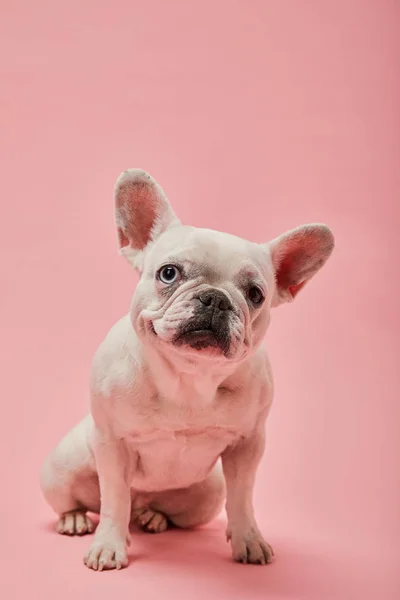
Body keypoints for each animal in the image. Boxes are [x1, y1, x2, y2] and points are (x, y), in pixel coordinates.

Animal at [39, 170, 334, 572]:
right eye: (168, 274)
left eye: (256, 294)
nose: (216, 298)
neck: (189, 377)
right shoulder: (111, 444)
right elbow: (114, 499)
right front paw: (108, 545)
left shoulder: (248, 446)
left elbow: (243, 498)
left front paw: (248, 539)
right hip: (64, 466)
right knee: (85, 501)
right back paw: (75, 518)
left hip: (209, 492)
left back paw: (153, 516)